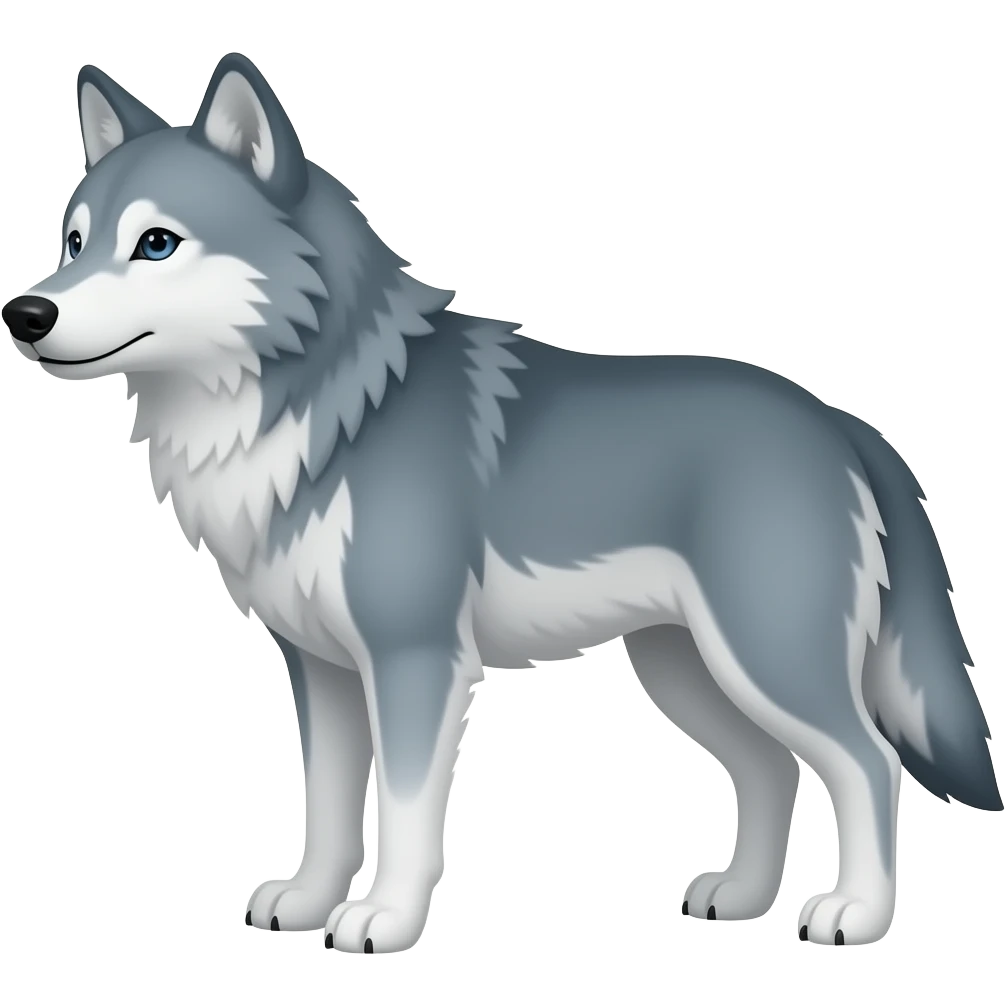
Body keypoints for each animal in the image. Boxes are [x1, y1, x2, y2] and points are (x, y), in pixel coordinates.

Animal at [3, 53, 1000, 954]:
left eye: (156, 243)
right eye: (73, 242)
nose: (24, 314)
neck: (330, 408)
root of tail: (838, 420)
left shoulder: (416, 659)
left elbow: (406, 813)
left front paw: (384, 921)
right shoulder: (320, 668)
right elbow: (328, 804)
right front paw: (309, 901)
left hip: (764, 660)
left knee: (867, 763)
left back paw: (855, 916)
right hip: (686, 671)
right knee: (773, 769)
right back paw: (743, 898)